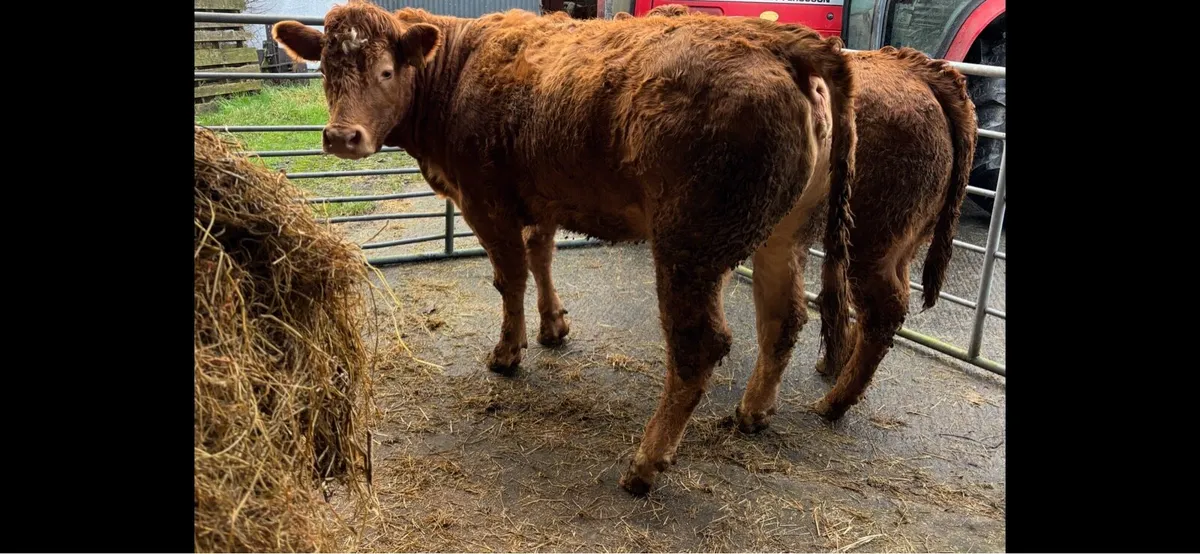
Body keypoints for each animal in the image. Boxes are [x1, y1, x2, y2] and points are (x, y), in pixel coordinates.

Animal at [272, 0, 857, 495]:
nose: (341, 136)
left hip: (690, 245)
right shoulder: (542, 199)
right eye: (325, 70)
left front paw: (508, 351)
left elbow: (509, 276)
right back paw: (753, 412)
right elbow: (541, 257)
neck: (457, 70)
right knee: (783, 319)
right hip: (784, 234)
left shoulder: (485, 201)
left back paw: (646, 462)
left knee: (699, 346)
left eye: (386, 71)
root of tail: (779, 41)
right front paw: (553, 326)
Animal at [615, 6, 978, 426]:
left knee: (882, 310)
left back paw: (833, 403)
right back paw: (834, 370)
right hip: (901, 241)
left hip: (875, 240)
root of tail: (919, 68)